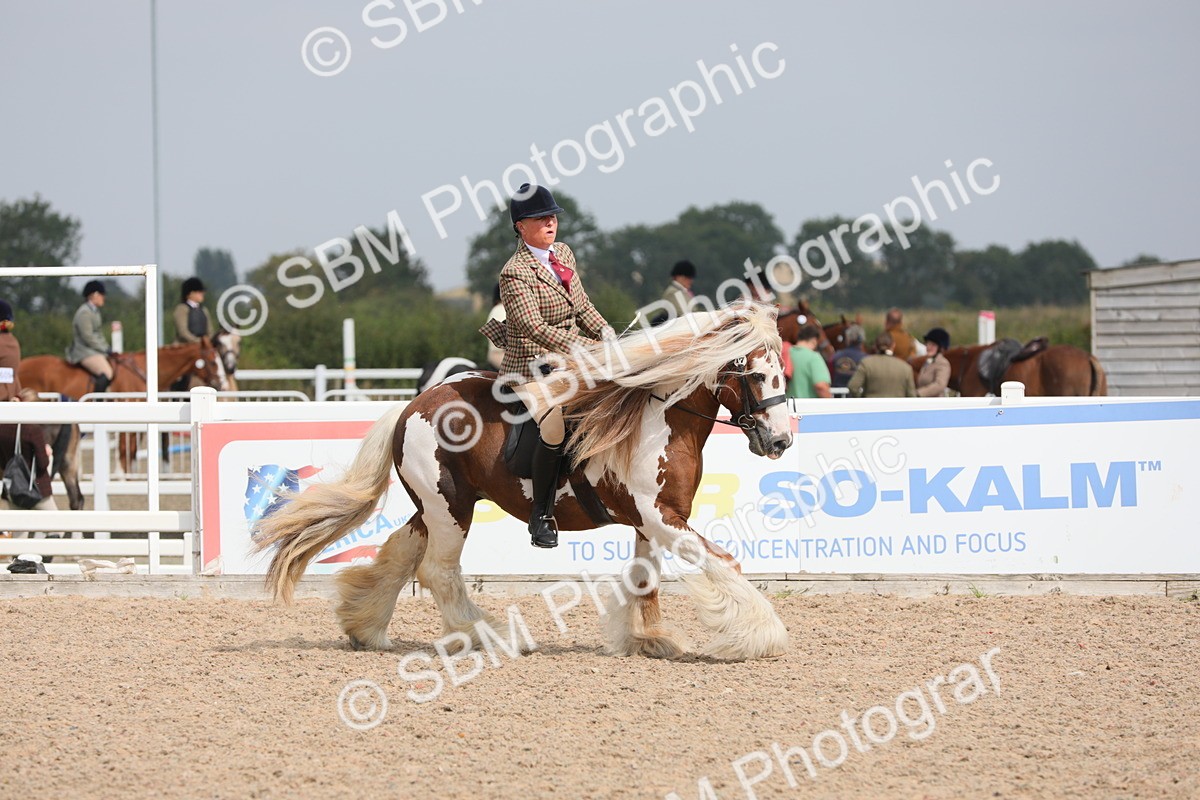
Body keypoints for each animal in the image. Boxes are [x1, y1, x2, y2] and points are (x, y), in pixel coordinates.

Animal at [254, 302, 794, 661]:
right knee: (438, 572)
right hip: (451, 510)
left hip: (435, 508)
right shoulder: (660, 517)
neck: (655, 418)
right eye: (756, 374)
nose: (781, 440)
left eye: (781, 373)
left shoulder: (652, 521)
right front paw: (761, 634)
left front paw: (648, 640)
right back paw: (487, 637)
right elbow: (725, 563)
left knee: (402, 554)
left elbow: (645, 580)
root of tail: (412, 405)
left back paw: (365, 629)